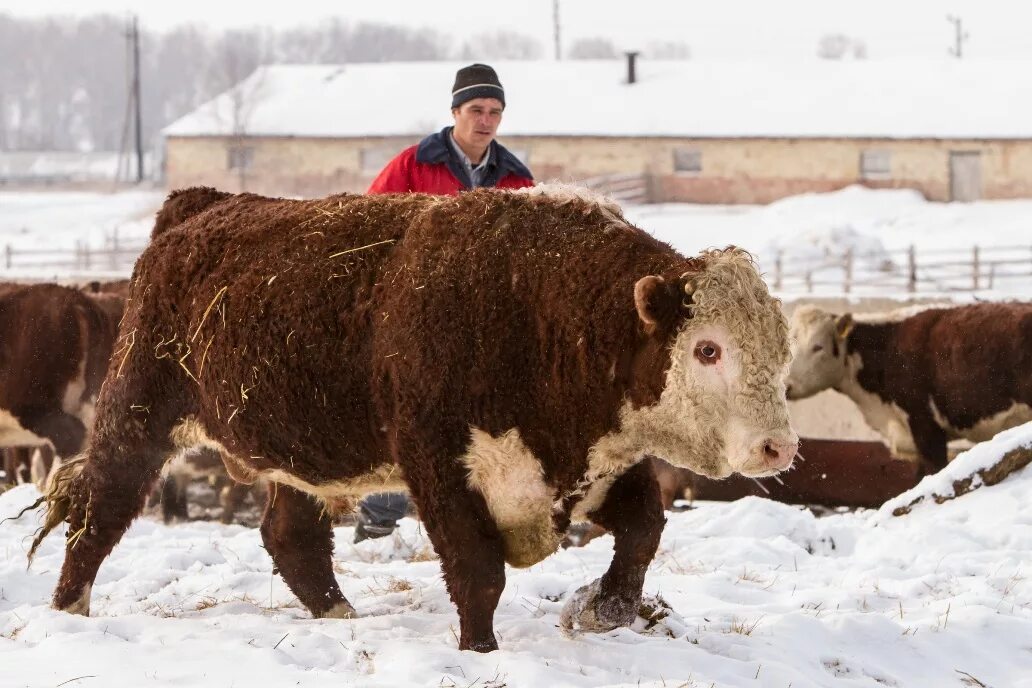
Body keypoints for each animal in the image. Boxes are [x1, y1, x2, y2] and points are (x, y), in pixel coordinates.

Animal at [28, 185, 792, 656]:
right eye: (707, 348)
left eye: (782, 350)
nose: (777, 446)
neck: (540, 307)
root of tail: (199, 209)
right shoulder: (439, 465)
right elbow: (478, 571)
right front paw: (481, 652)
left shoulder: (589, 465)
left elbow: (642, 533)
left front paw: (606, 609)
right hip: (137, 417)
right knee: (98, 514)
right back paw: (68, 610)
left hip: (296, 455)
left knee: (291, 537)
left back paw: (339, 617)